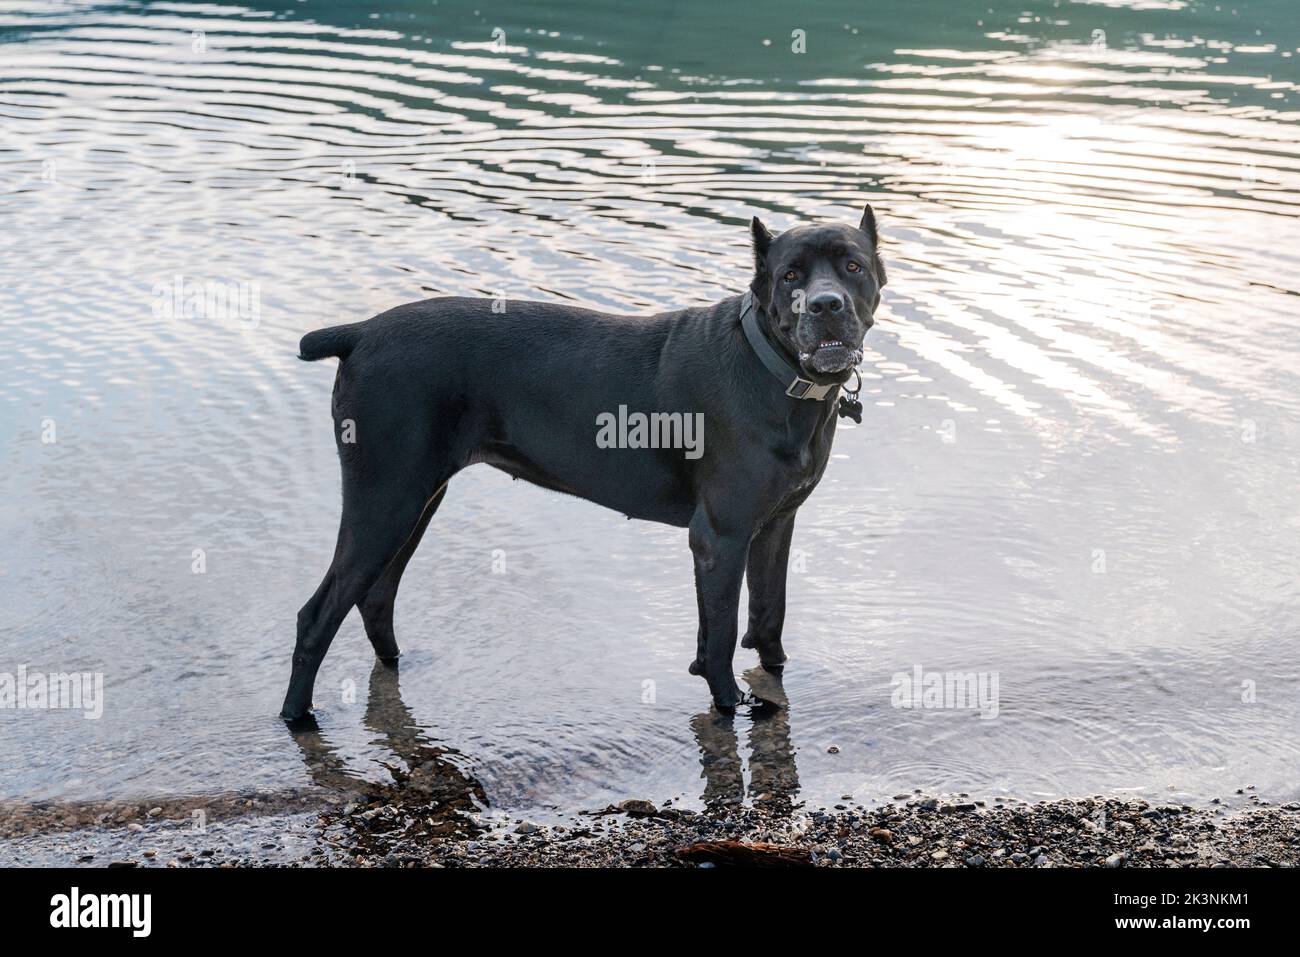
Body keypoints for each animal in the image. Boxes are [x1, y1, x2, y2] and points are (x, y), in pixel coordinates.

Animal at [280, 208, 889, 717]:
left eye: (852, 266)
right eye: (790, 277)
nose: (826, 305)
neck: (776, 372)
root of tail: (360, 332)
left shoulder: (775, 525)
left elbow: (766, 616)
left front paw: (773, 678)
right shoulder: (722, 536)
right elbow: (720, 637)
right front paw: (727, 704)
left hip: (415, 499)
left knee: (375, 596)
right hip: (385, 499)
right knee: (318, 614)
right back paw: (297, 717)